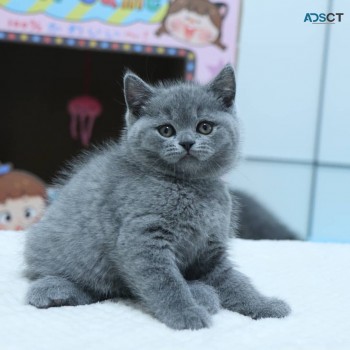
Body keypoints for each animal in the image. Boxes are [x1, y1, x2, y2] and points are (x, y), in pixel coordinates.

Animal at [24, 66, 292, 330]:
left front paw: (265, 305)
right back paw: (52, 292)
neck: (189, 186)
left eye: (204, 127)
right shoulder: (142, 238)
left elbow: (236, 282)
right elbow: (166, 282)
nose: (187, 142)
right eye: (166, 130)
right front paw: (186, 314)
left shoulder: (210, 249)